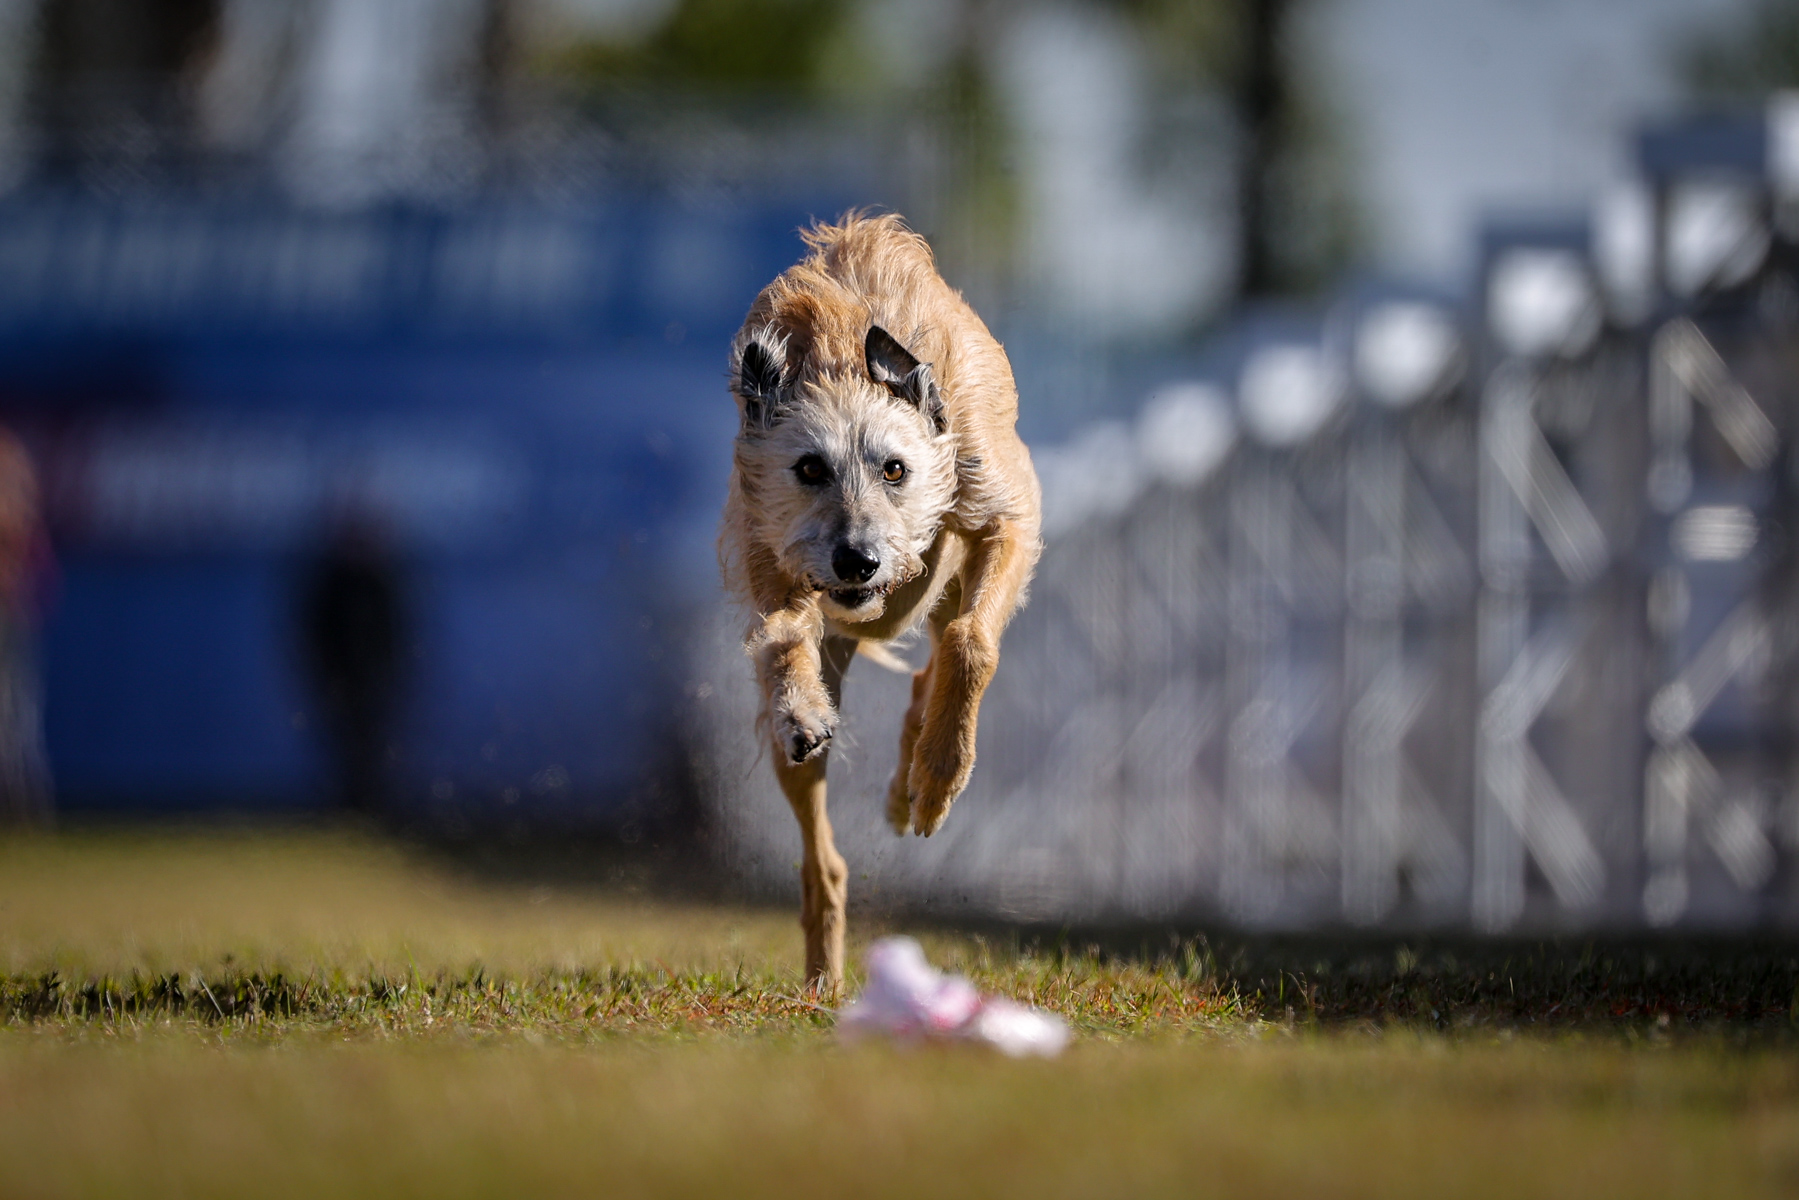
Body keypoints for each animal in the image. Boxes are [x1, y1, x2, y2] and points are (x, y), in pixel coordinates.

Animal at [719, 211, 1043, 993]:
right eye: (808, 467)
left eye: (895, 468)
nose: (857, 560)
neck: (843, 356)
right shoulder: (767, 541)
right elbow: (780, 633)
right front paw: (800, 709)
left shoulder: (1000, 506)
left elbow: (971, 641)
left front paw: (941, 774)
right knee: (822, 860)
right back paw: (823, 974)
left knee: (936, 658)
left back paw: (913, 779)